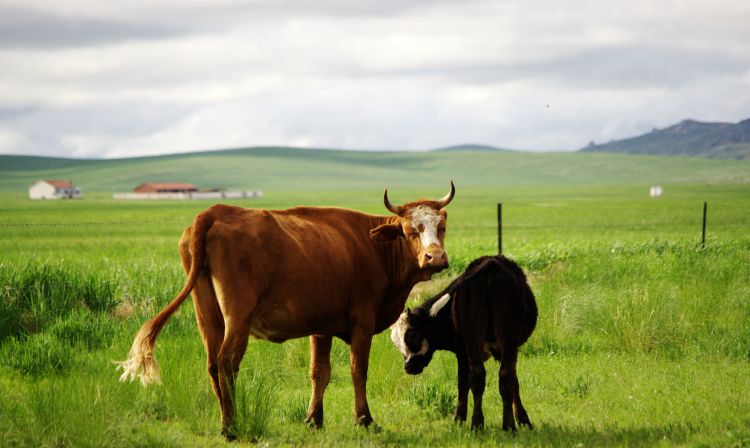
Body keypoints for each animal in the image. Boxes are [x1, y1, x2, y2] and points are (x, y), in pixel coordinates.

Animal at [118, 182, 458, 438]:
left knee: (213, 364)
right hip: (238, 316)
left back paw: (225, 420)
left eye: (441, 226)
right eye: (410, 230)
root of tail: (215, 212)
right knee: (227, 362)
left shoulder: (322, 326)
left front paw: (314, 420)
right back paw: (231, 426)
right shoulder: (362, 322)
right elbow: (357, 371)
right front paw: (364, 420)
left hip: (208, 315)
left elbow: (319, 372)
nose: (435, 257)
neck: (374, 248)